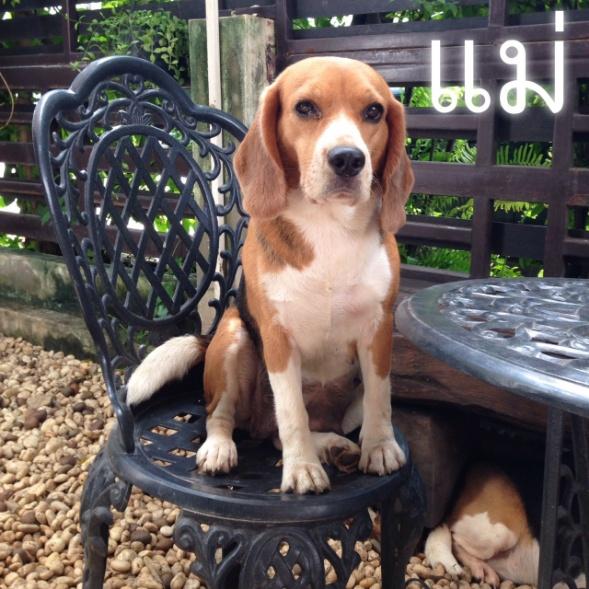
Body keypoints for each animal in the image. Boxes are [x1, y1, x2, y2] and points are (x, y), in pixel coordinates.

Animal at [126, 56, 414, 494]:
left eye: (374, 112)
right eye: (305, 108)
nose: (348, 159)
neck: (329, 227)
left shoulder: (378, 331)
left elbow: (381, 397)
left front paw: (379, 447)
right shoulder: (279, 340)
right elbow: (292, 413)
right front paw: (302, 470)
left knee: (286, 431)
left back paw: (337, 446)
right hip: (233, 336)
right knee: (228, 417)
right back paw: (221, 449)